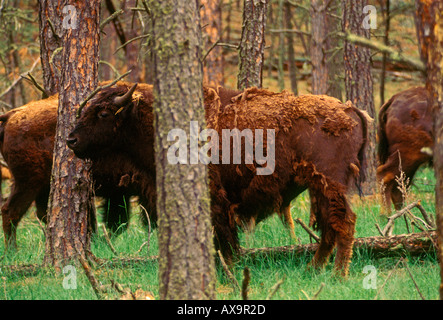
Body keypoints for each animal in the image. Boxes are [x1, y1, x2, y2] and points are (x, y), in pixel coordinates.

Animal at [0, 95, 153, 250]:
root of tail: (12, 115)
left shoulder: (119, 193)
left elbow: (119, 222)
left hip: (39, 186)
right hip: (28, 184)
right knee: (10, 211)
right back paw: (12, 250)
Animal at [67, 82, 370, 276]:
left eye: (103, 113)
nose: (71, 140)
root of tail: (349, 110)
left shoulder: (216, 200)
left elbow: (224, 240)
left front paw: (229, 273)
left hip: (330, 182)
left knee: (344, 223)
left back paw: (337, 275)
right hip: (318, 186)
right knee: (330, 227)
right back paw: (314, 270)